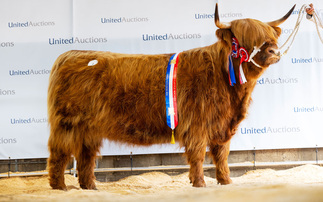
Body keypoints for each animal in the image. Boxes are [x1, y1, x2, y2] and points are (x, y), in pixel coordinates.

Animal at [47, 3, 296, 189]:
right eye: (244, 39)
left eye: (270, 36)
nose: (274, 51)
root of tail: (69, 54)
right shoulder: (197, 125)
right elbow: (198, 155)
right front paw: (199, 183)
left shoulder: (222, 125)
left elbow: (221, 155)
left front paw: (225, 181)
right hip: (67, 124)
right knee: (59, 153)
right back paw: (60, 187)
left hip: (88, 129)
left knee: (85, 156)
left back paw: (90, 187)